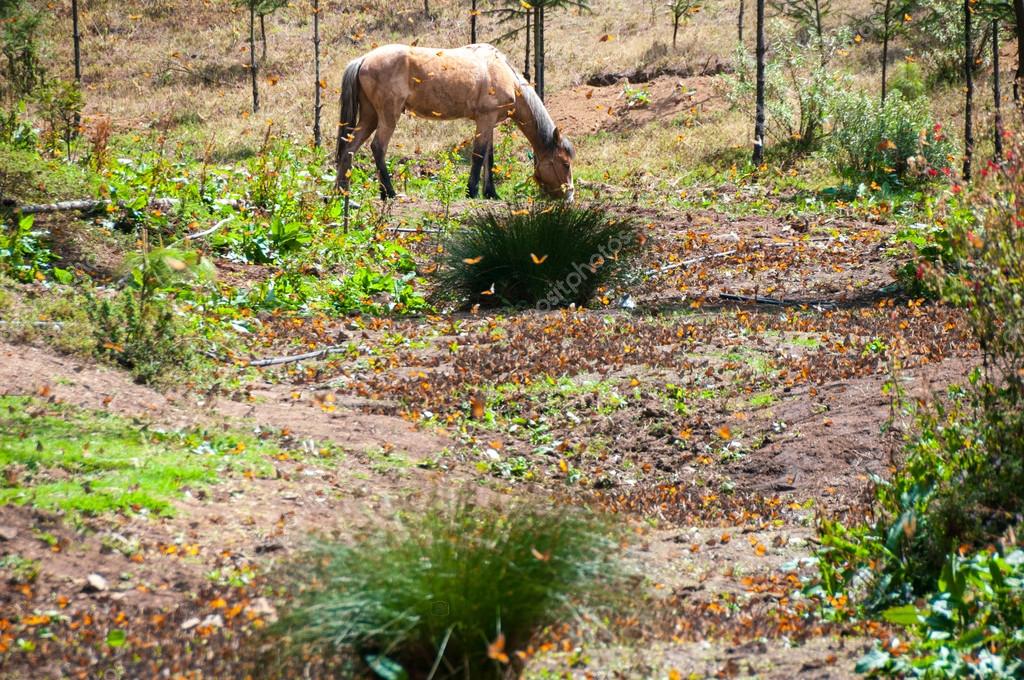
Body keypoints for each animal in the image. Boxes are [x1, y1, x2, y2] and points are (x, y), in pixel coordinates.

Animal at [335, 42, 577, 200]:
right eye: (565, 164)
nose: (570, 196)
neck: (503, 73)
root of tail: (363, 59)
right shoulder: (485, 120)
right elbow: (478, 155)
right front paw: (472, 191)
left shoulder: (489, 123)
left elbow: (489, 157)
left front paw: (491, 193)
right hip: (387, 115)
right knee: (378, 147)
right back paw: (389, 192)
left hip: (370, 117)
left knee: (349, 147)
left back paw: (342, 191)